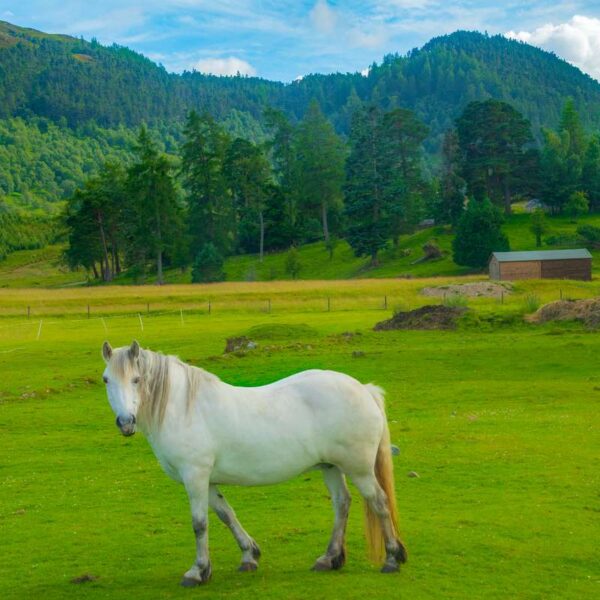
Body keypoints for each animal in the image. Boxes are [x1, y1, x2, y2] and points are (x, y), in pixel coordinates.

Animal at [101, 342, 408, 584]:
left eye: (137, 379)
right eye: (106, 380)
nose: (126, 422)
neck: (184, 408)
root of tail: (364, 390)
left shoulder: (195, 477)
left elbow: (199, 523)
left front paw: (198, 571)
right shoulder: (208, 481)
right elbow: (226, 515)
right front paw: (249, 555)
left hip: (359, 470)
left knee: (379, 503)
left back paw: (392, 559)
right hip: (330, 467)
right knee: (342, 504)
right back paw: (329, 558)